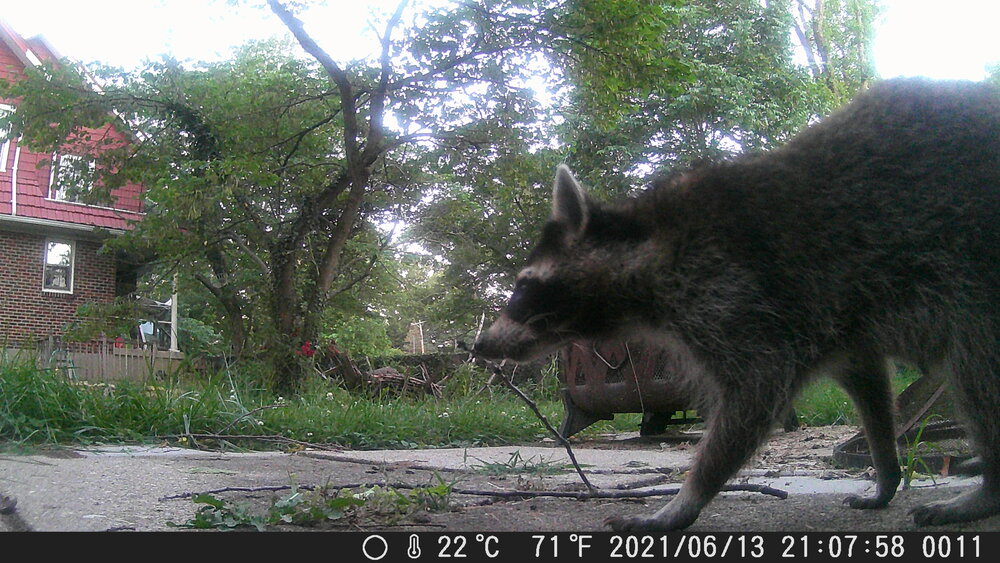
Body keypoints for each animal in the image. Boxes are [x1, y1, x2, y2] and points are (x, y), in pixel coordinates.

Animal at [474, 79, 1000, 532]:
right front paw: (886, 468)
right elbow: (868, 383)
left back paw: (986, 489)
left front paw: (685, 500)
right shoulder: (840, 322)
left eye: (522, 288)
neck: (650, 245)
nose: (480, 345)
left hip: (974, 277)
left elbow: (754, 394)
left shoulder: (734, 295)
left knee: (975, 366)